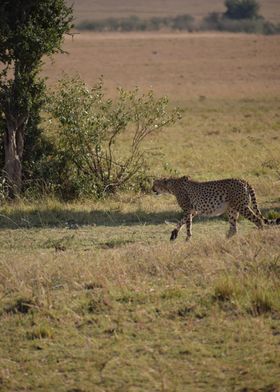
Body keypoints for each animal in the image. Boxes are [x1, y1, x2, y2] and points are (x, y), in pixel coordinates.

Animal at [152, 176, 280, 240]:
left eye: (155, 184)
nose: (152, 189)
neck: (171, 185)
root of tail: (243, 180)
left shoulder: (188, 210)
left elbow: (188, 224)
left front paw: (188, 238)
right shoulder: (193, 210)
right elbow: (181, 221)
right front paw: (174, 233)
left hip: (242, 206)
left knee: (257, 220)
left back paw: (259, 236)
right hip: (232, 209)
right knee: (233, 228)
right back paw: (224, 241)